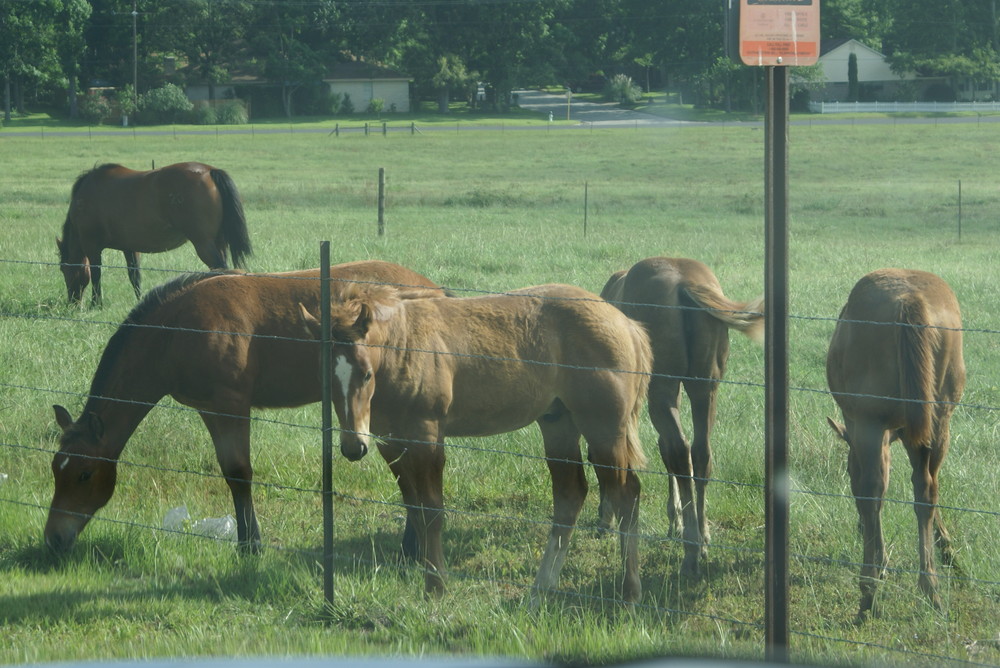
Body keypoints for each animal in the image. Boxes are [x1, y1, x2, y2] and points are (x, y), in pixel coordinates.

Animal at [46, 260, 446, 552]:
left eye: (84, 473)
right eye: (55, 469)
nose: (53, 538)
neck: (177, 331)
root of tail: (435, 290)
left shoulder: (231, 404)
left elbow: (240, 473)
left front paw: (250, 545)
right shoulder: (209, 409)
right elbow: (230, 473)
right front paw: (245, 539)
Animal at [57, 162, 254, 306]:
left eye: (63, 269)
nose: (72, 302)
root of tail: (209, 170)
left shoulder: (92, 246)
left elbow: (97, 274)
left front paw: (96, 303)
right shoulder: (130, 248)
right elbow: (134, 276)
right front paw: (139, 300)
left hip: (203, 243)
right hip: (219, 242)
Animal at [300, 284, 652, 604]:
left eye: (366, 374)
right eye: (324, 377)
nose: (353, 447)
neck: (405, 347)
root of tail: (626, 324)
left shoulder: (427, 436)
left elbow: (432, 512)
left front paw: (436, 587)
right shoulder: (392, 442)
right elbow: (414, 511)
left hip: (603, 429)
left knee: (625, 493)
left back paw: (630, 592)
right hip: (558, 424)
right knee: (571, 495)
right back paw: (541, 589)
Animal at [600, 256, 764, 576]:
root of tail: (684, 282)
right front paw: (676, 520)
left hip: (663, 392)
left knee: (679, 450)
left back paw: (691, 551)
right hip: (704, 389)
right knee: (699, 453)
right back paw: (702, 537)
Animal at [824, 268, 964, 620]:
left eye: (846, 472)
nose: (859, 529)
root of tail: (910, 301)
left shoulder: (864, 426)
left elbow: (871, 489)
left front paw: (881, 557)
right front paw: (949, 553)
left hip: (871, 421)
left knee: (874, 489)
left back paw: (868, 592)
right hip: (938, 419)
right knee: (927, 488)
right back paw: (931, 588)